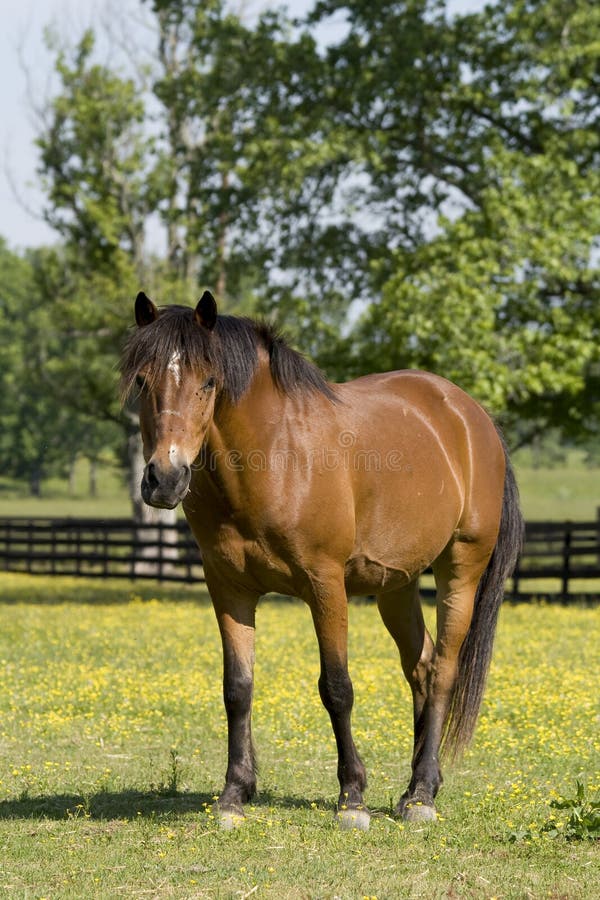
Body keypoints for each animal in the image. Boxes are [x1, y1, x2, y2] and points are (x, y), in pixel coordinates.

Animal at [119, 288, 524, 828]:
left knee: (442, 670)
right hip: (397, 585)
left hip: (461, 570)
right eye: (143, 380)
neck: (275, 458)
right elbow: (237, 688)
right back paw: (417, 784)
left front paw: (352, 798)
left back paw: (421, 796)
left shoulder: (325, 584)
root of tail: (472, 416)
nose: (164, 479)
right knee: (419, 667)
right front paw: (233, 796)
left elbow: (337, 688)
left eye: (208, 381)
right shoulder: (228, 588)